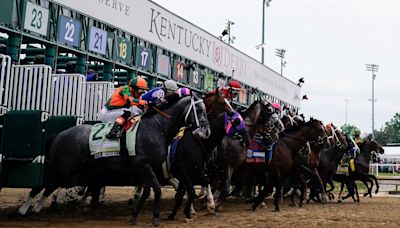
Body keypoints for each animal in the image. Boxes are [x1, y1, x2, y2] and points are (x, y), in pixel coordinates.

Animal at [16, 95, 209, 226]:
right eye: (200, 110)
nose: (206, 131)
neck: (157, 128)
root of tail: (60, 134)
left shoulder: (148, 167)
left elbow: (148, 191)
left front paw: (134, 215)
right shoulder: (144, 165)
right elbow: (157, 189)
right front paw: (155, 217)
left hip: (70, 168)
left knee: (51, 185)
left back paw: (37, 207)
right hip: (61, 165)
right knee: (42, 184)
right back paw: (24, 209)